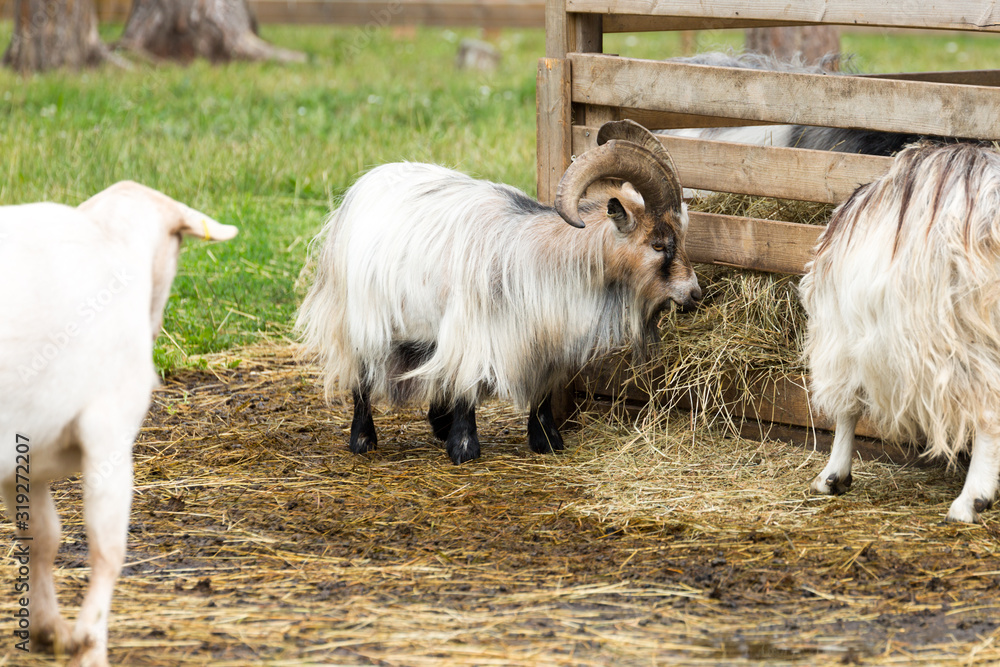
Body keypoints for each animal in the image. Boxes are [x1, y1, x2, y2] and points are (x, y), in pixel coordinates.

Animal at [0, 182, 238, 665]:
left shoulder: (27, 446)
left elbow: (41, 537)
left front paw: (49, 628)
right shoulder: (106, 432)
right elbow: (107, 547)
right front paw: (88, 642)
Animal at [297, 120, 702, 464]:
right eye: (658, 244)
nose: (694, 293)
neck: (536, 258)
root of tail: (363, 185)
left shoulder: (543, 341)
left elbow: (541, 391)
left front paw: (547, 441)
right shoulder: (472, 331)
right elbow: (465, 386)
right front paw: (464, 448)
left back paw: (438, 426)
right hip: (361, 318)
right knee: (363, 374)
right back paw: (363, 439)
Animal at [800, 143, 1000, 523]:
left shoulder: (843, 337)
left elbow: (847, 409)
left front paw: (833, 475)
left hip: (962, 330)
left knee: (988, 408)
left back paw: (970, 501)